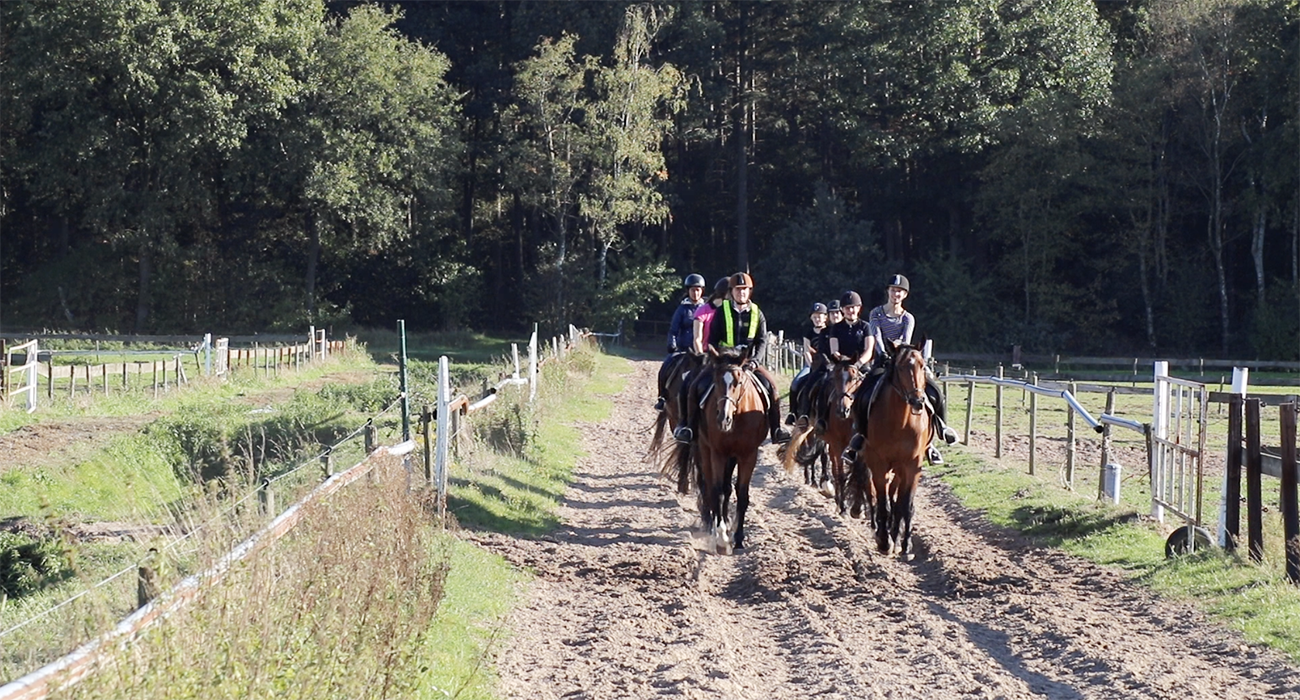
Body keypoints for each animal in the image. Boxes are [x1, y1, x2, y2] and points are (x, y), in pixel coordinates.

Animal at [665, 346, 764, 554]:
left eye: (739, 381)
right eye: (717, 381)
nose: (723, 419)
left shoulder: (747, 454)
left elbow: (741, 494)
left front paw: (738, 537)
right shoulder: (716, 452)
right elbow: (716, 490)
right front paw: (721, 539)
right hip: (704, 448)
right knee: (709, 484)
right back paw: (712, 522)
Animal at [842, 340, 935, 559]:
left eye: (922, 366)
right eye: (900, 367)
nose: (918, 401)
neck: (901, 422)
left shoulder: (912, 466)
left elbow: (905, 504)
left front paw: (905, 545)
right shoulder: (879, 463)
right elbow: (882, 501)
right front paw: (884, 541)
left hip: (899, 468)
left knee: (895, 497)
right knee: (869, 487)